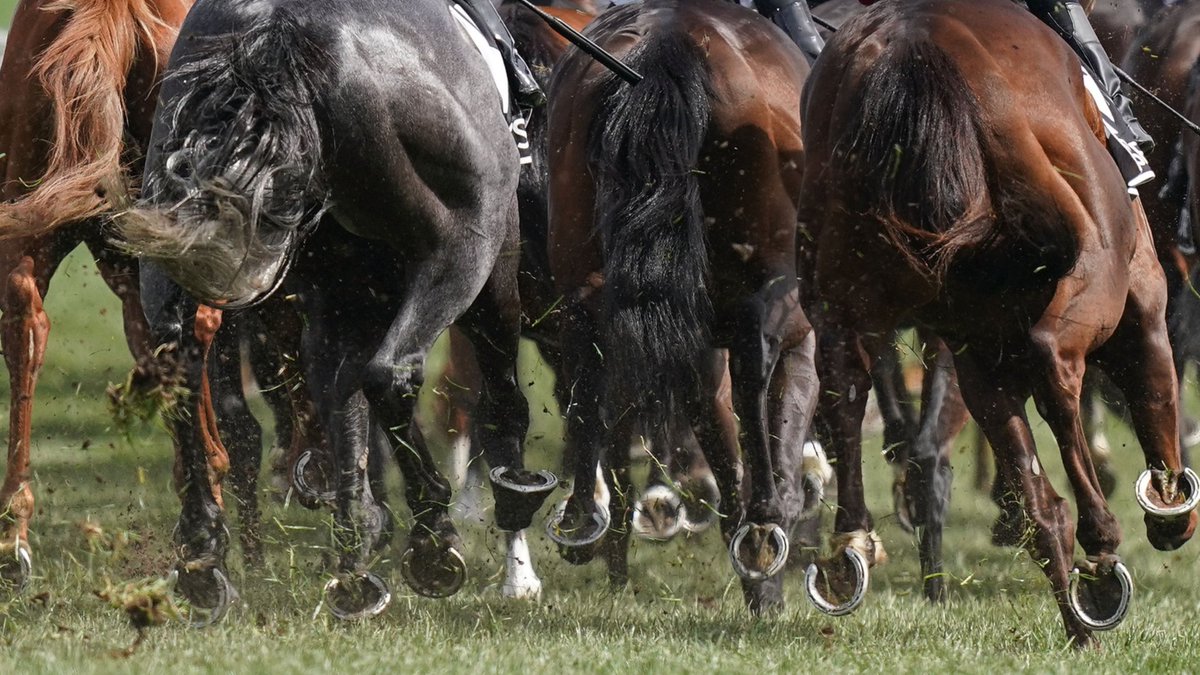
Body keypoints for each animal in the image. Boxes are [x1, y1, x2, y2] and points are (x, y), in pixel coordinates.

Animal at [120, 0, 552, 619]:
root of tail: (279, 37)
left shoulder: (339, 293)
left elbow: (340, 397)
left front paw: (359, 536)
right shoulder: (485, 256)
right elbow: (484, 396)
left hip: (169, 239)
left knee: (178, 369)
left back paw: (209, 553)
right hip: (468, 250)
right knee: (399, 374)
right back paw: (439, 532)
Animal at [544, 0, 816, 610]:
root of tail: (668, 40)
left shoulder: (696, 352)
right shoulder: (799, 335)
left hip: (581, 262)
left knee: (587, 345)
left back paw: (584, 518)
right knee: (757, 357)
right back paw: (764, 522)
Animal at [796, 0, 1200, 643]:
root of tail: (915, 50)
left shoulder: (974, 346)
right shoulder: (1141, 304)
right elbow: (1155, 392)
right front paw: (1169, 509)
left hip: (858, 304)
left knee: (845, 384)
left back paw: (849, 550)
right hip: (1091, 284)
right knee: (1055, 364)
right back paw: (1101, 548)